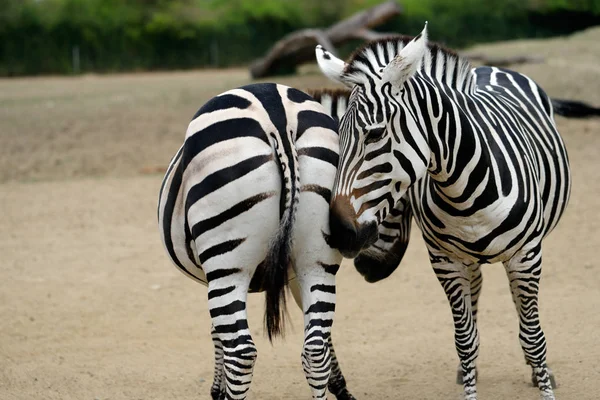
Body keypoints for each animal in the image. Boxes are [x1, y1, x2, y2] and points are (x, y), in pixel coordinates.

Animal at [314, 24, 600, 400]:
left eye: (375, 134)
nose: (342, 234)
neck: (464, 191)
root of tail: (488, 68)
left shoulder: (526, 255)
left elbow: (534, 337)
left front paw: (543, 382)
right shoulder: (446, 262)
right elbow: (465, 341)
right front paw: (469, 377)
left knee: (523, 312)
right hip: (468, 261)